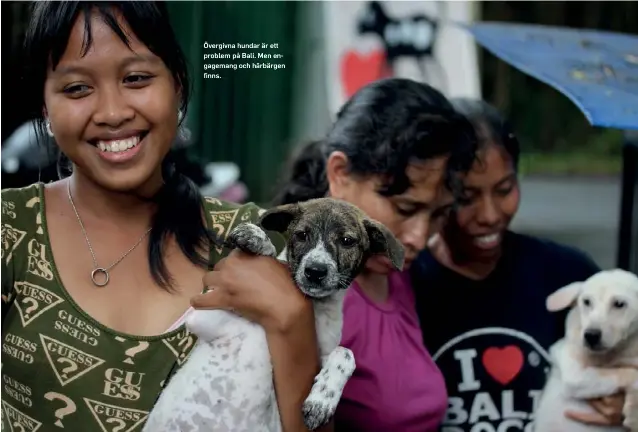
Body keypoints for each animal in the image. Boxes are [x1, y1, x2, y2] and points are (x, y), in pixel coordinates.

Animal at [145, 199, 404, 432]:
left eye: (347, 241)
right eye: (301, 235)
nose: (315, 271)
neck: (314, 305)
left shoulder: (318, 355)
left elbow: (346, 353)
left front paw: (322, 400)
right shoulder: (205, 313)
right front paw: (258, 240)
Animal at [536, 268, 638, 430]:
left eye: (619, 304)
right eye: (586, 302)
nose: (591, 336)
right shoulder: (575, 375)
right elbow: (629, 372)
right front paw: (634, 416)